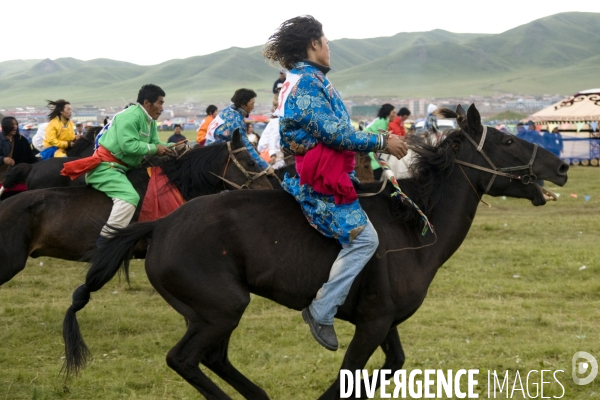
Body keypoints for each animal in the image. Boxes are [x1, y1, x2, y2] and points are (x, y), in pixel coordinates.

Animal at [63, 104, 568, 398]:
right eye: (508, 140)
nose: (562, 165)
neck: (414, 227)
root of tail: (161, 225)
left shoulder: (383, 320)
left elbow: (392, 365)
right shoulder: (372, 324)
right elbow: (350, 373)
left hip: (207, 313)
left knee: (212, 358)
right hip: (222, 308)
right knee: (184, 359)